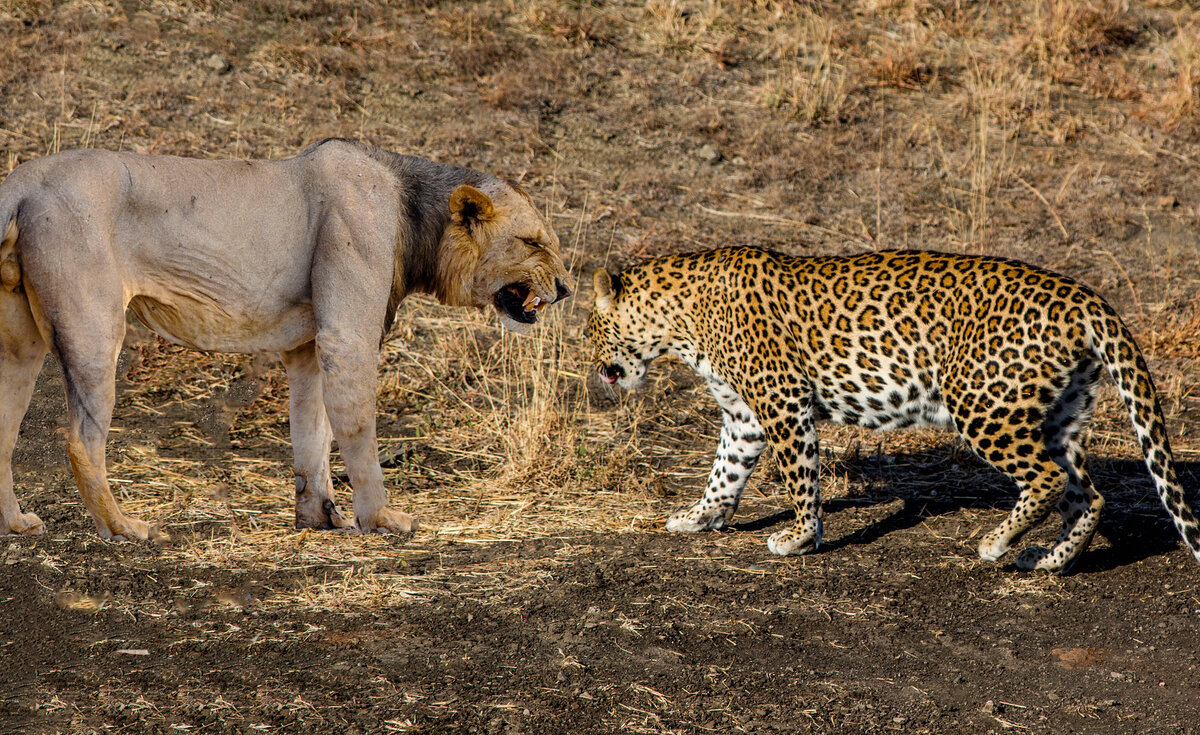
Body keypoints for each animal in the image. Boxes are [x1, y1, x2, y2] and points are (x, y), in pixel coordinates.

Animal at [0, 139, 568, 540]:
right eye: (532, 243)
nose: (565, 289)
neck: (412, 212)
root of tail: (22, 181)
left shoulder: (308, 347)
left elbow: (311, 432)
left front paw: (320, 516)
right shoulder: (346, 335)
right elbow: (357, 428)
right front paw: (381, 519)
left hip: (18, 347)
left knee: (5, 430)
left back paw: (17, 525)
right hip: (95, 329)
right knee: (82, 440)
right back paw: (123, 529)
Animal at [588, 247, 1200, 574]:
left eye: (592, 329)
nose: (597, 369)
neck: (678, 322)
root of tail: (1085, 296)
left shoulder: (782, 402)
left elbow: (800, 479)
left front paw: (799, 538)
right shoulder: (744, 414)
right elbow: (724, 472)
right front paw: (698, 518)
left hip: (982, 404)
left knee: (1048, 480)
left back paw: (997, 543)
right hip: (1059, 414)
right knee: (1087, 493)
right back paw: (1049, 560)